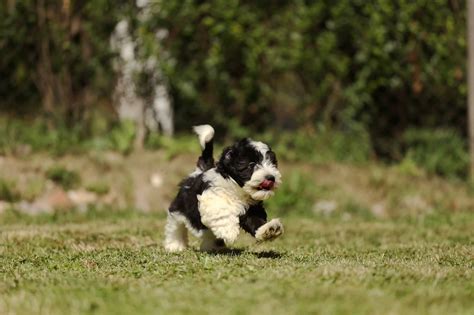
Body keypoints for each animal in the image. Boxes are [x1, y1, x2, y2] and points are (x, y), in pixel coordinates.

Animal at [164, 124, 282, 253]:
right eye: (251, 164)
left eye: (273, 164)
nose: (271, 177)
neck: (236, 189)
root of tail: (198, 171)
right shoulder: (210, 198)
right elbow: (222, 211)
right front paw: (229, 231)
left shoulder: (251, 208)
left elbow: (255, 220)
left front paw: (269, 229)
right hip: (180, 208)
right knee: (175, 225)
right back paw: (175, 244)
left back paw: (213, 246)